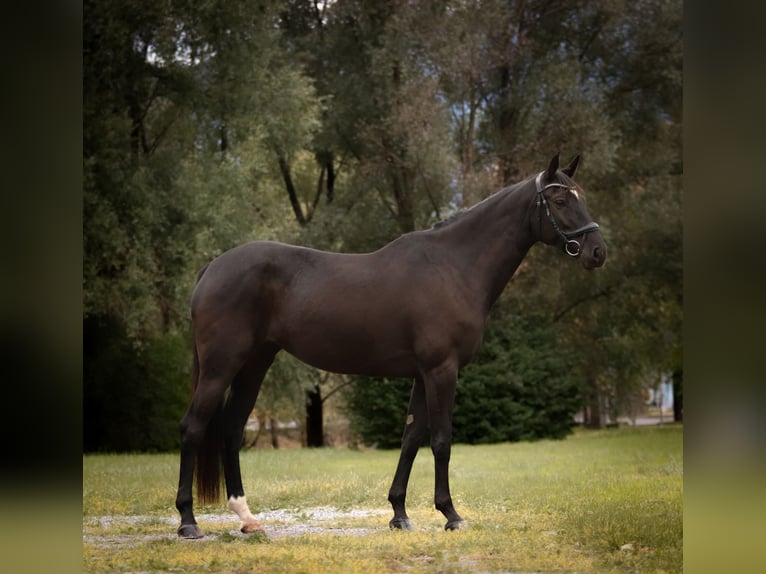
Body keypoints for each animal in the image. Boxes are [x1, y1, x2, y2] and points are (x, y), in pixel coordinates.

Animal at [175, 153, 607, 538]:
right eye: (560, 200)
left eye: (582, 196)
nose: (598, 252)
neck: (453, 266)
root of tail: (212, 267)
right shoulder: (442, 370)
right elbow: (441, 440)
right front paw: (451, 515)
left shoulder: (421, 374)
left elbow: (411, 439)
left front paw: (399, 514)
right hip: (221, 366)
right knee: (194, 427)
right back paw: (188, 522)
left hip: (254, 365)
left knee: (231, 429)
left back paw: (247, 518)